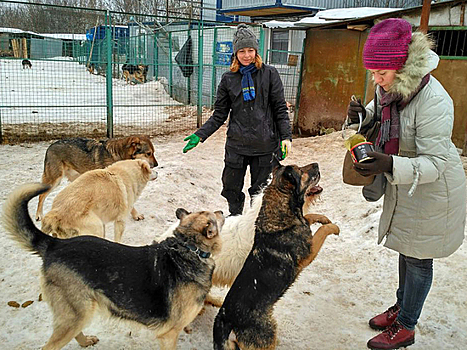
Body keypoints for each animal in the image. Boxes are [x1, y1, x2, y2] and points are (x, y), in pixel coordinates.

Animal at [213, 163, 340, 350]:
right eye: (301, 171)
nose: (317, 164)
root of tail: (225, 320)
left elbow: (309, 218)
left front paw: (323, 218)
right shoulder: (309, 252)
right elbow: (321, 231)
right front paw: (333, 227)